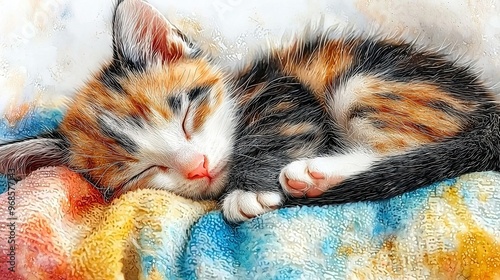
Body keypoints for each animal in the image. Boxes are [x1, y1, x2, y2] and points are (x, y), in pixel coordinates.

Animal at [0, 0, 500, 223]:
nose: (199, 167)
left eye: (187, 115)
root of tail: (487, 108)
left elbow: (271, 134)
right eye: (141, 172)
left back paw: (317, 174)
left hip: (365, 83)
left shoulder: (286, 90)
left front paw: (247, 190)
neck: (241, 92)